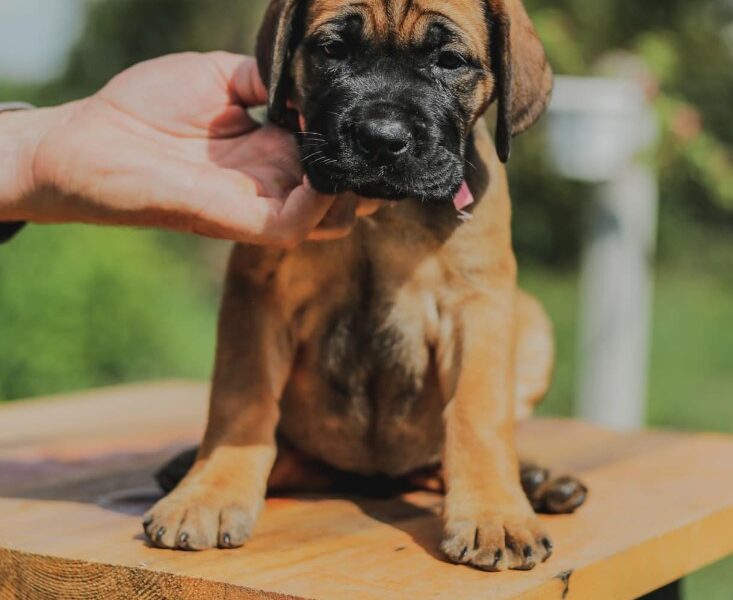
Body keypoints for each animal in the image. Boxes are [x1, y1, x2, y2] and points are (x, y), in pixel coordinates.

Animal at [144, 0, 576, 572]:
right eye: (333, 50)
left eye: (450, 60)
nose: (382, 140)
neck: (380, 210)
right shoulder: (258, 294)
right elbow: (241, 403)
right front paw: (208, 494)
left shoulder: (478, 303)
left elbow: (478, 413)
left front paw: (494, 514)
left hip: (532, 321)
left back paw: (537, 480)